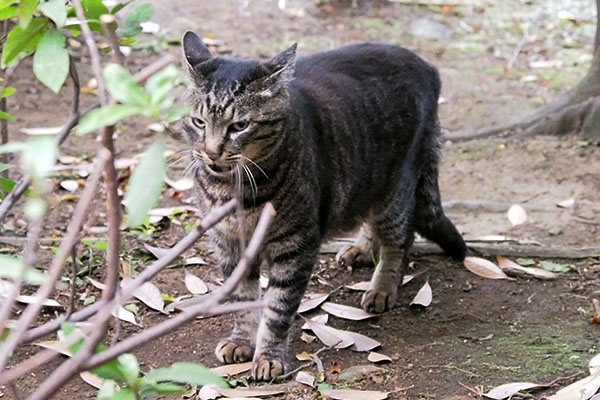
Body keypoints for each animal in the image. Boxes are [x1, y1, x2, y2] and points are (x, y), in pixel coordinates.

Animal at [180, 30, 466, 378]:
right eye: (198, 122)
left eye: (239, 126)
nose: (210, 152)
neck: (236, 190)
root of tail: (427, 67)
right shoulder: (229, 243)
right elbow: (241, 298)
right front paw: (241, 341)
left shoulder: (295, 245)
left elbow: (278, 307)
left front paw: (269, 356)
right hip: (365, 182)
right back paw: (361, 249)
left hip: (395, 189)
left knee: (400, 239)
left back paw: (382, 287)